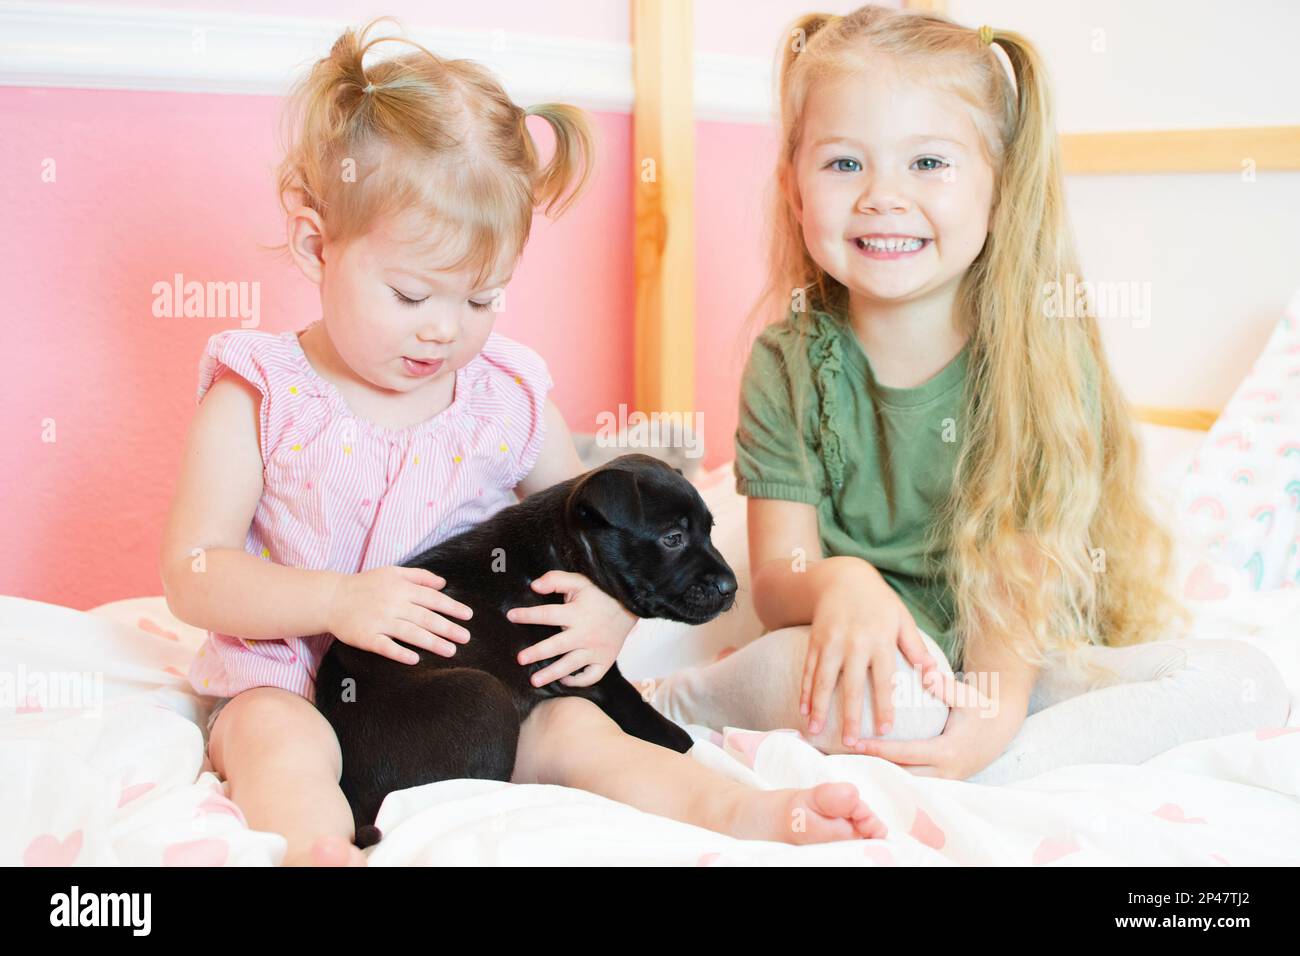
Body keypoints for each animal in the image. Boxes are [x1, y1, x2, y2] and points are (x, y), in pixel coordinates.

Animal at [314, 452, 738, 848]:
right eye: (672, 538)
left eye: (710, 530)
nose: (731, 587)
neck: (564, 547)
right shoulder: (585, 669)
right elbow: (643, 713)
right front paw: (686, 743)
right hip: (483, 695)